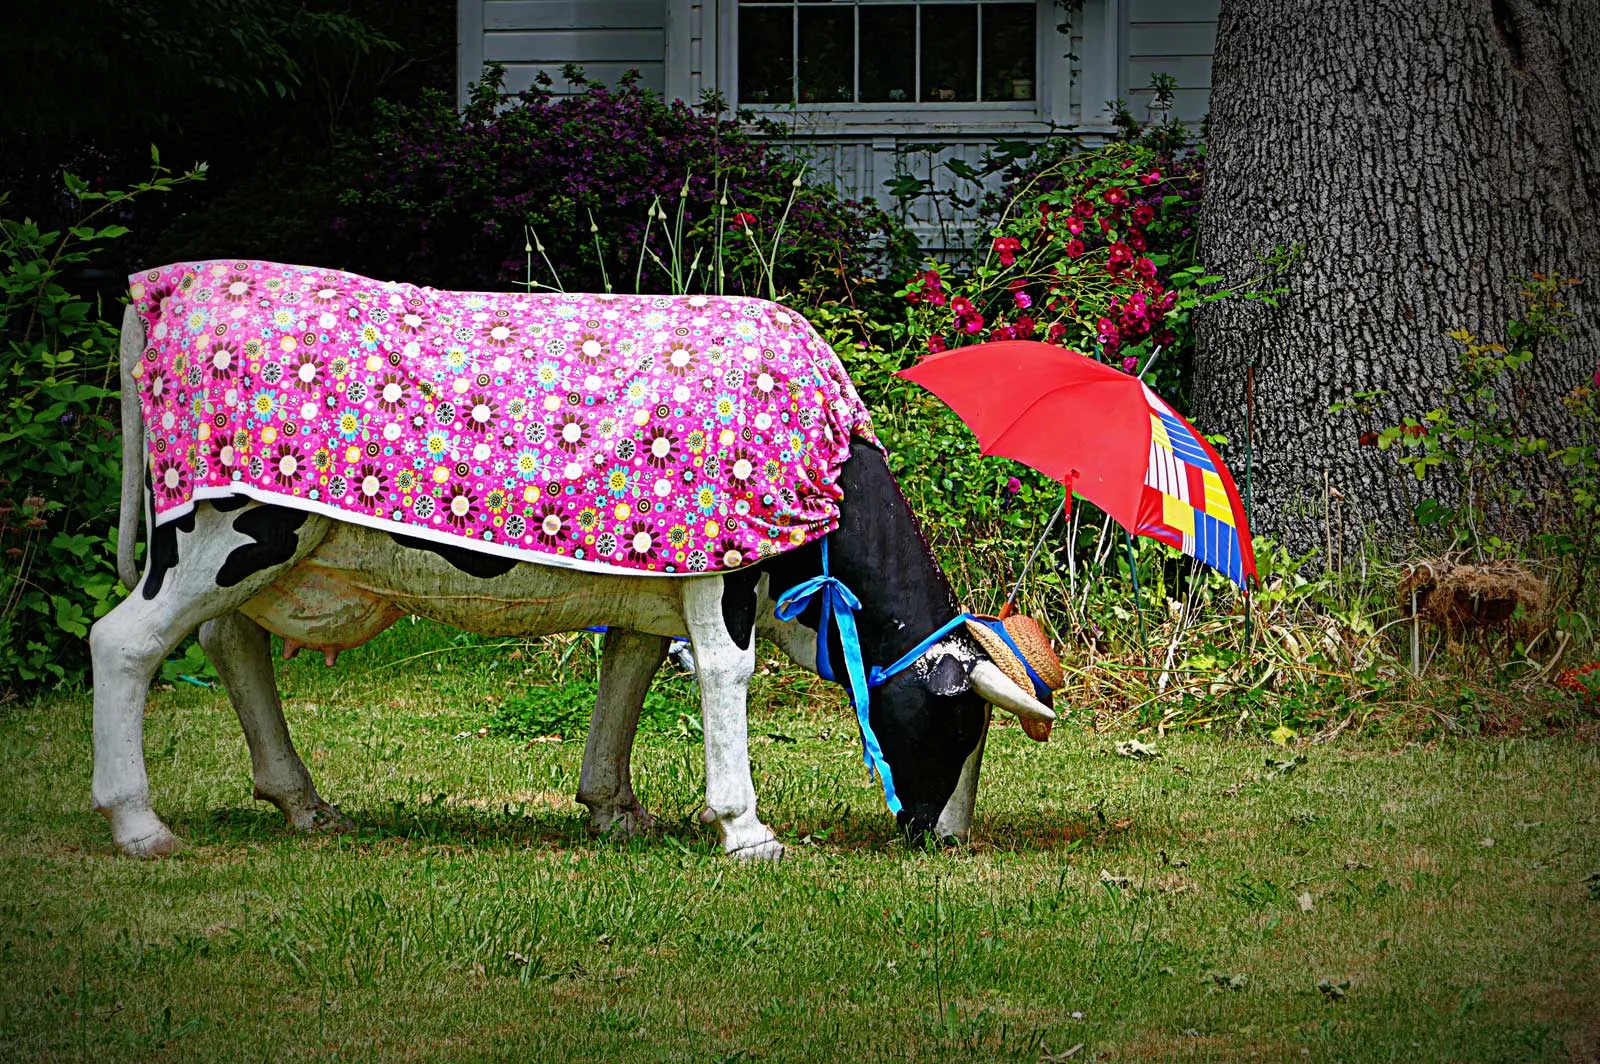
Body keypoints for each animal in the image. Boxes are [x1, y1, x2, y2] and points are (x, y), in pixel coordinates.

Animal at [91, 289, 1057, 860]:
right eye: (962, 726)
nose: (945, 839)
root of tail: (166, 288)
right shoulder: (724, 570)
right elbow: (725, 674)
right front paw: (747, 830)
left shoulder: (654, 577)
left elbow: (628, 674)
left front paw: (612, 807)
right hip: (230, 528)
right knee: (124, 642)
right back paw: (140, 825)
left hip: (270, 556)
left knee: (229, 643)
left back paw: (303, 803)